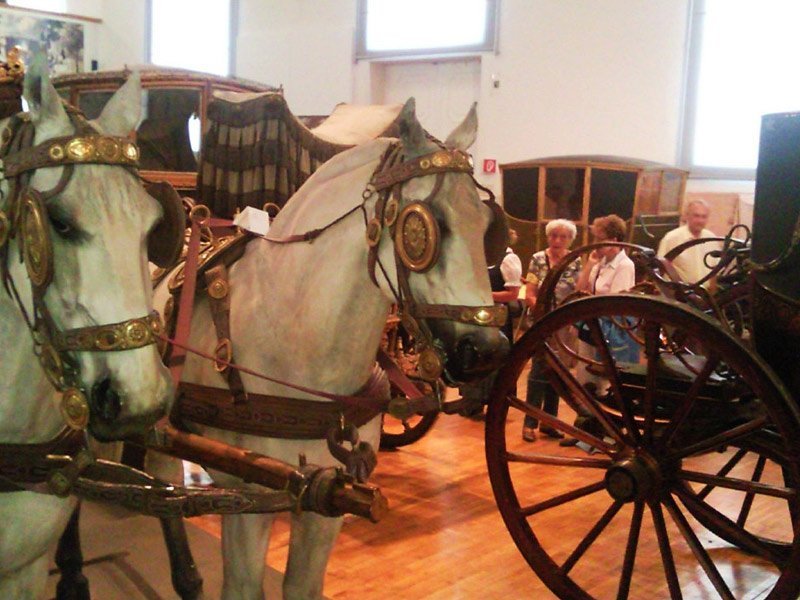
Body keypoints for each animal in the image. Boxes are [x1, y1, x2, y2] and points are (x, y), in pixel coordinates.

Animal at [149, 98, 508, 599]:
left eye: (489, 226)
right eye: (423, 226)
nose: (487, 351)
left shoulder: (329, 502)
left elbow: (302, 586)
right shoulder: (247, 499)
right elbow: (242, 586)